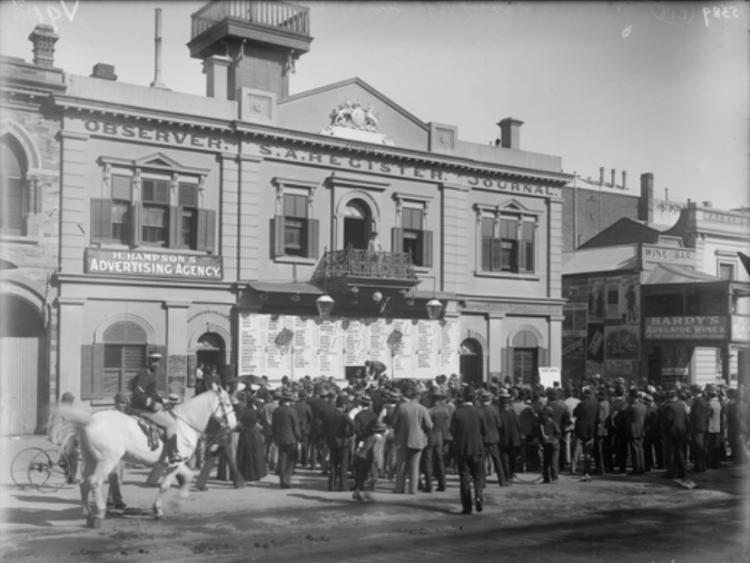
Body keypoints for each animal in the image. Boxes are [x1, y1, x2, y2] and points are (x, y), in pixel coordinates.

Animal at [54, 388, 236, 528]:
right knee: (94, 482)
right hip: (107, 461)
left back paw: (88, 514)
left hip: (91, 459)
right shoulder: (174, 464)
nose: (235, 426)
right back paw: (99, 515)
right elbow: (164, 486)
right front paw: (158, 510)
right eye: (227, 404)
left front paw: (179, 501)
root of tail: (89, 421)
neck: (185, 422)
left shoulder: (175, 463)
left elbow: (189, 475)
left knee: (84, 483)